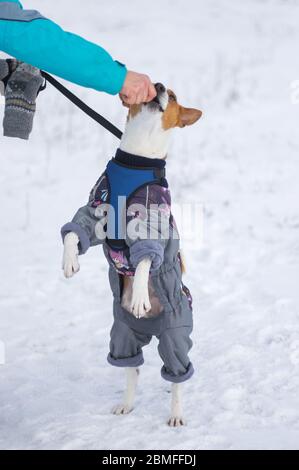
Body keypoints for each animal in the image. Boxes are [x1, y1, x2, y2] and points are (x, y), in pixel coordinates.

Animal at [61, 82, 203, 428]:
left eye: (174, 97)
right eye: (160, 86)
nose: (160, 87)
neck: (137, 159)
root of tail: (150, 330)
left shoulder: (150, 221)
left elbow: (143, 261)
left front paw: (139, 295)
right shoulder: (95, 211)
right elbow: (74, 232)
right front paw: (69, 261)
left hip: (174, 335)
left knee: (177, 375)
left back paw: (176, 414)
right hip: (123, 335)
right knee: (132, 368)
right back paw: (126, 405)